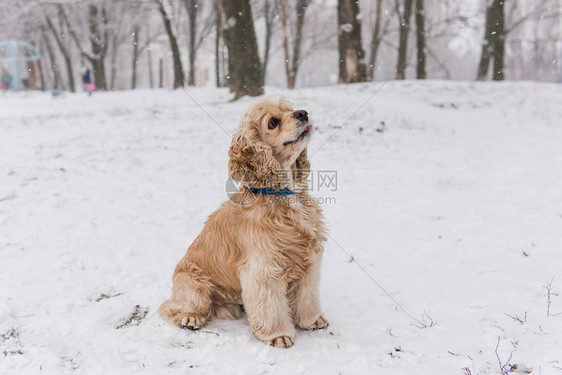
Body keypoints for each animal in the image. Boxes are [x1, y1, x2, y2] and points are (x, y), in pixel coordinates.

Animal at [158, 94, 326, 350]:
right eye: (273, 122)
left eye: (290, 108)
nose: (303, 113)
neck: (284, 195)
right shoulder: (263, 269)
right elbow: (270, 308)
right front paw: (278, 335)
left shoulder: (309, 262)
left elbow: (307, 297)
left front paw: (312, 320)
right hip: (194, 283)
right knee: (171, 308)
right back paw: (191, 318)